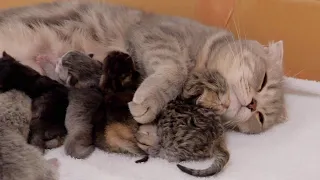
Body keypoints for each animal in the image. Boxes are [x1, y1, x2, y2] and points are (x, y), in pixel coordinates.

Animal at [0, 0, 284, 134]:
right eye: (263, 80)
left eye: (260, 118)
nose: (253, 105)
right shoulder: (157, 35)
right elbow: (175, 70)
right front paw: (149, 99)